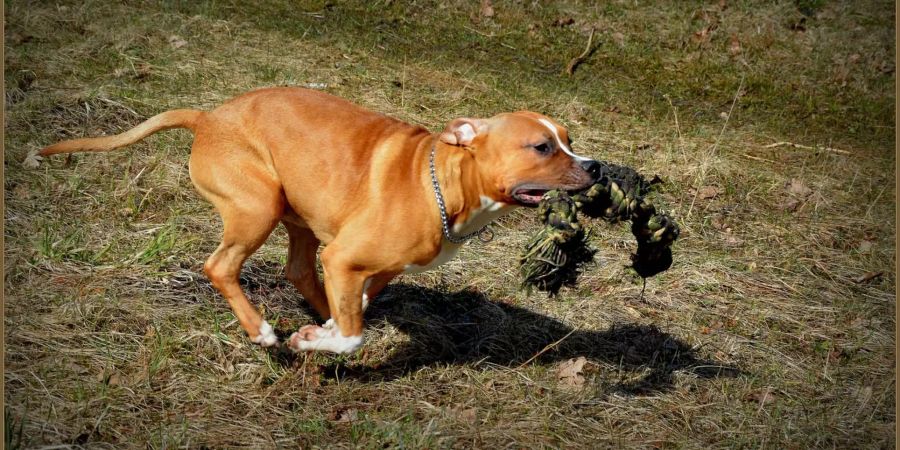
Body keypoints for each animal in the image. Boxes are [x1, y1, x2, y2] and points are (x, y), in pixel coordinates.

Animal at [44, 88, 604, 354]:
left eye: (569, 139)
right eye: (542, 147)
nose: (596, 166)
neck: (443, 184)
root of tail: (208, 117)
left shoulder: (374, 268)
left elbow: (357, 305)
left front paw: (323, 329)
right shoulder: (344, 259)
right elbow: (355, 333)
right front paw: (313, 341)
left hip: (298, 217)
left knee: (297, 269)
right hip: (259, 207)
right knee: (221, 267)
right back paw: (261, 332)